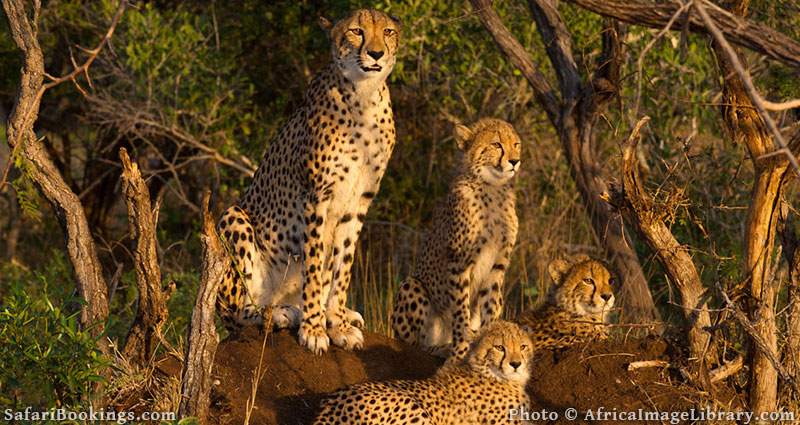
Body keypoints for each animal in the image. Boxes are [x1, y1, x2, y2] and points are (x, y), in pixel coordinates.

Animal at [214, 10, 400, 354]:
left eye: (388, 32)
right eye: (357, 31)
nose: (376, 53)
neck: (364, 96)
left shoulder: (358, 202)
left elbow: (342, 265)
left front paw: (336, 321)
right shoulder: (317, 197)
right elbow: (314, 266)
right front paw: (314, 328)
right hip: (232, 217)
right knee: (236, 313)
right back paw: (281, 312)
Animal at [390, 118, 520, 358]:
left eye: (516, 144)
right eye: (496, 144)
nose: (515, 161)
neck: (493, 189)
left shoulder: (498, 265)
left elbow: (490, 306)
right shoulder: (459, 262)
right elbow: (460, 309)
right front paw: (461, 348)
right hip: (412, 284)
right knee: (415, 344)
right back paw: (442, 347)